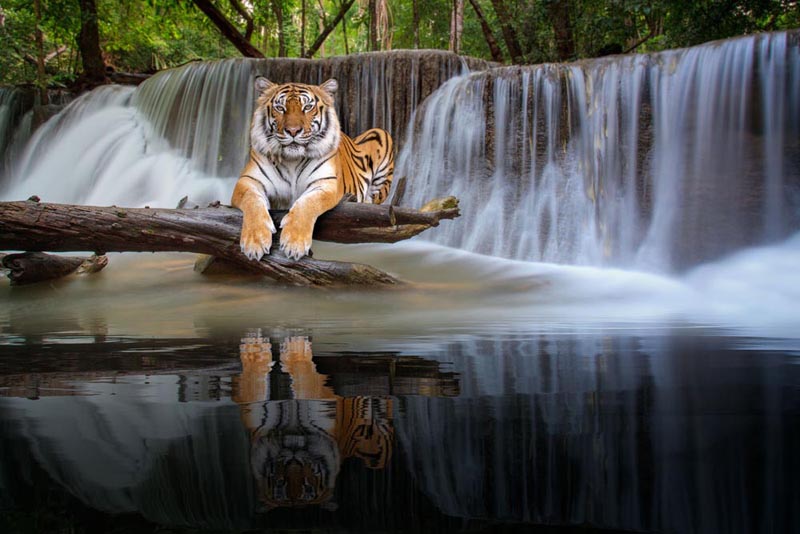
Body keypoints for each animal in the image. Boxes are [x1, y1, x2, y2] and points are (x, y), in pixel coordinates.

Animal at [232, 77, 394, 261]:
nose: (293, 131)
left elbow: (307, 203)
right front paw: (255, 241)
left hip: (380, 133)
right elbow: (252, 201)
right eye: (280, 108)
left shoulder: (325, 183)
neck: (292, 160)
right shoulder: (249, 181)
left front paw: (294, 243)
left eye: (307, 107)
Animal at [233, 334, 394, 510]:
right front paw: (254, 349)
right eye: (280, 485)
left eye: (308, 487)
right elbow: (252, 385)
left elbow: (305, 379)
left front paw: (296, 347)